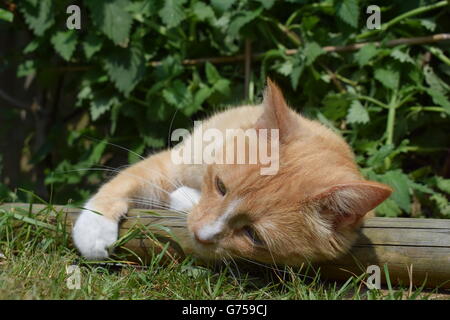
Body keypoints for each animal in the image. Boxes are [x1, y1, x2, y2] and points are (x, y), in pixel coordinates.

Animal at [73, 79, 390, 264]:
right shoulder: (170, 163)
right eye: (220, 186)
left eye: (253, 235)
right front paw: (93, 226)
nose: (200, 234)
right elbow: (125, 180)